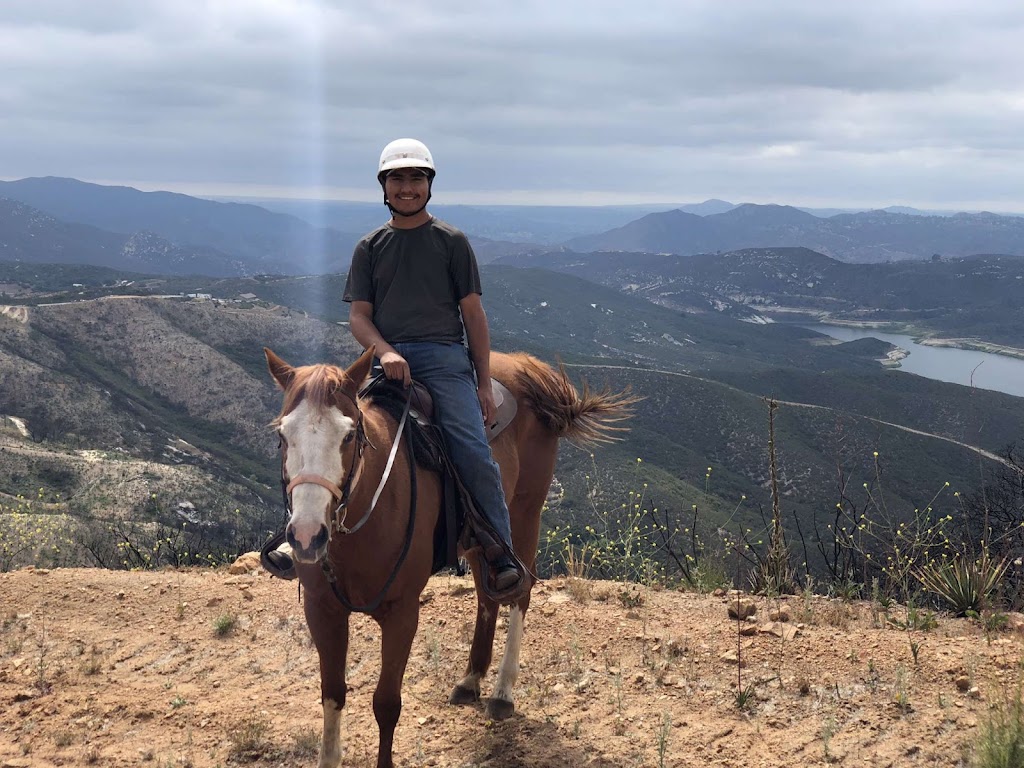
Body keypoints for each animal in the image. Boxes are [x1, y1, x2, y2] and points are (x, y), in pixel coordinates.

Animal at [264, 348, 630, 768]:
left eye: (349, 434)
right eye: (282, 435)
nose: (307, 536)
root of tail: (527, 365)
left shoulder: (403, 612)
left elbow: (386, 703)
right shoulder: (322, 611)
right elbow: (332, 695)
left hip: (525, 511)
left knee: (521, 591)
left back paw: (502, 692)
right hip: (477, 538)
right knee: (488, 593)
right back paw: (471, 680)